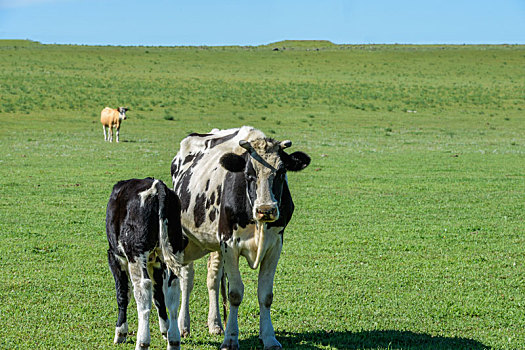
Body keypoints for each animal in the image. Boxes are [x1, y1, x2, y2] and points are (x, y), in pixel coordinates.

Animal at [105, 178, 187, 350]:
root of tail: (158, 186)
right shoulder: (156, 263)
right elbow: (159, 296)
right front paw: (165, 329)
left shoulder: (115, 257)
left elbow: (122, 294)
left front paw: (120, 332)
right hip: (173, 249)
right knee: (172, 290)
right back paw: (173, 340)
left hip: (135, 254)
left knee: (143, 290)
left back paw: (142, 342)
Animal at [170, 126, 310, 350]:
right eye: (249, 174)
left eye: (281, 172)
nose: (266, 210)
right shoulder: (230, 244)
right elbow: (235, 294)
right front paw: (231, 338)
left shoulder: (275, 245)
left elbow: (266, 295)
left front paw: (268, 337)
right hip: (184, 238)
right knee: (186, 278)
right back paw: (183, 326)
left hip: (216, 245)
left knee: (213, 278)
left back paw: (215, 324)